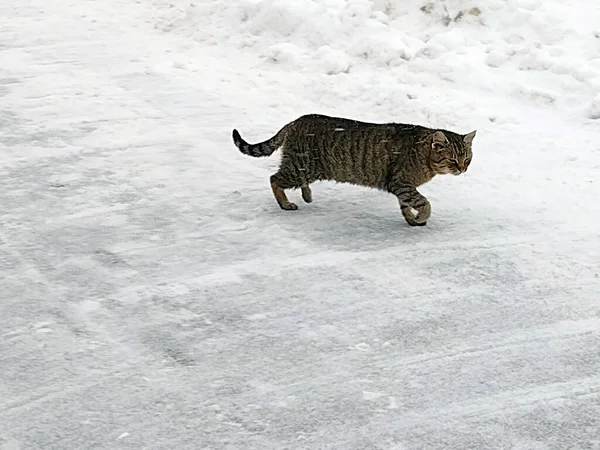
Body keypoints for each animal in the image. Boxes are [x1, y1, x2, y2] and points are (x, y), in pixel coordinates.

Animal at [232, 112, 476, 225]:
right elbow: (424, 203)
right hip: (300, 166)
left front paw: (412, 220)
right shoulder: (401, 183)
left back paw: (307, 195)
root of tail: (295, 121)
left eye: (467, 159)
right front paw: (421, 216)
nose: (462, 169)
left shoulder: (402, 187)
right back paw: (285, 204)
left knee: (294, 181)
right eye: (452, 160)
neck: (424, 157)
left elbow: (406, 206)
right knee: (274, 179)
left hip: (303, 168)